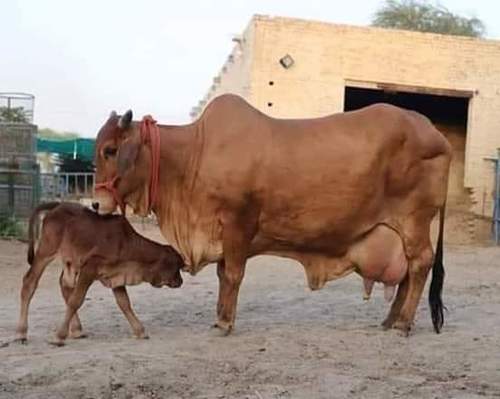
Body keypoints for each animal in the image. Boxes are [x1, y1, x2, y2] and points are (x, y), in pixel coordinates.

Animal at [15, 203, 185, 346]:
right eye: (177, 266)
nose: (181, 281)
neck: (127, 245)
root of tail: (56, 206)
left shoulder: (116, 276)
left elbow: (124, 303)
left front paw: (140, 331)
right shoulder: (89, 268)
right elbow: (76, 301)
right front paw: (58, 337)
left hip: (70, 262)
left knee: (65, 286)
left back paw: (77, 330)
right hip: (46, 251)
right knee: (29, 282)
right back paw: (21, 333)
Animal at [93, 95, 450, 336]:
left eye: (110, 150)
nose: (96, 203)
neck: (194, 154)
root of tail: (435, 134)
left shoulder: (238, 223)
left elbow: (233, 275)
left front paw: (224, 322)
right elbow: (223, 274)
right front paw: (220, 316)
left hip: (415, 220)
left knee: (420, 264)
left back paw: (403, 324)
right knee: (406, 273)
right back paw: (390, 320)